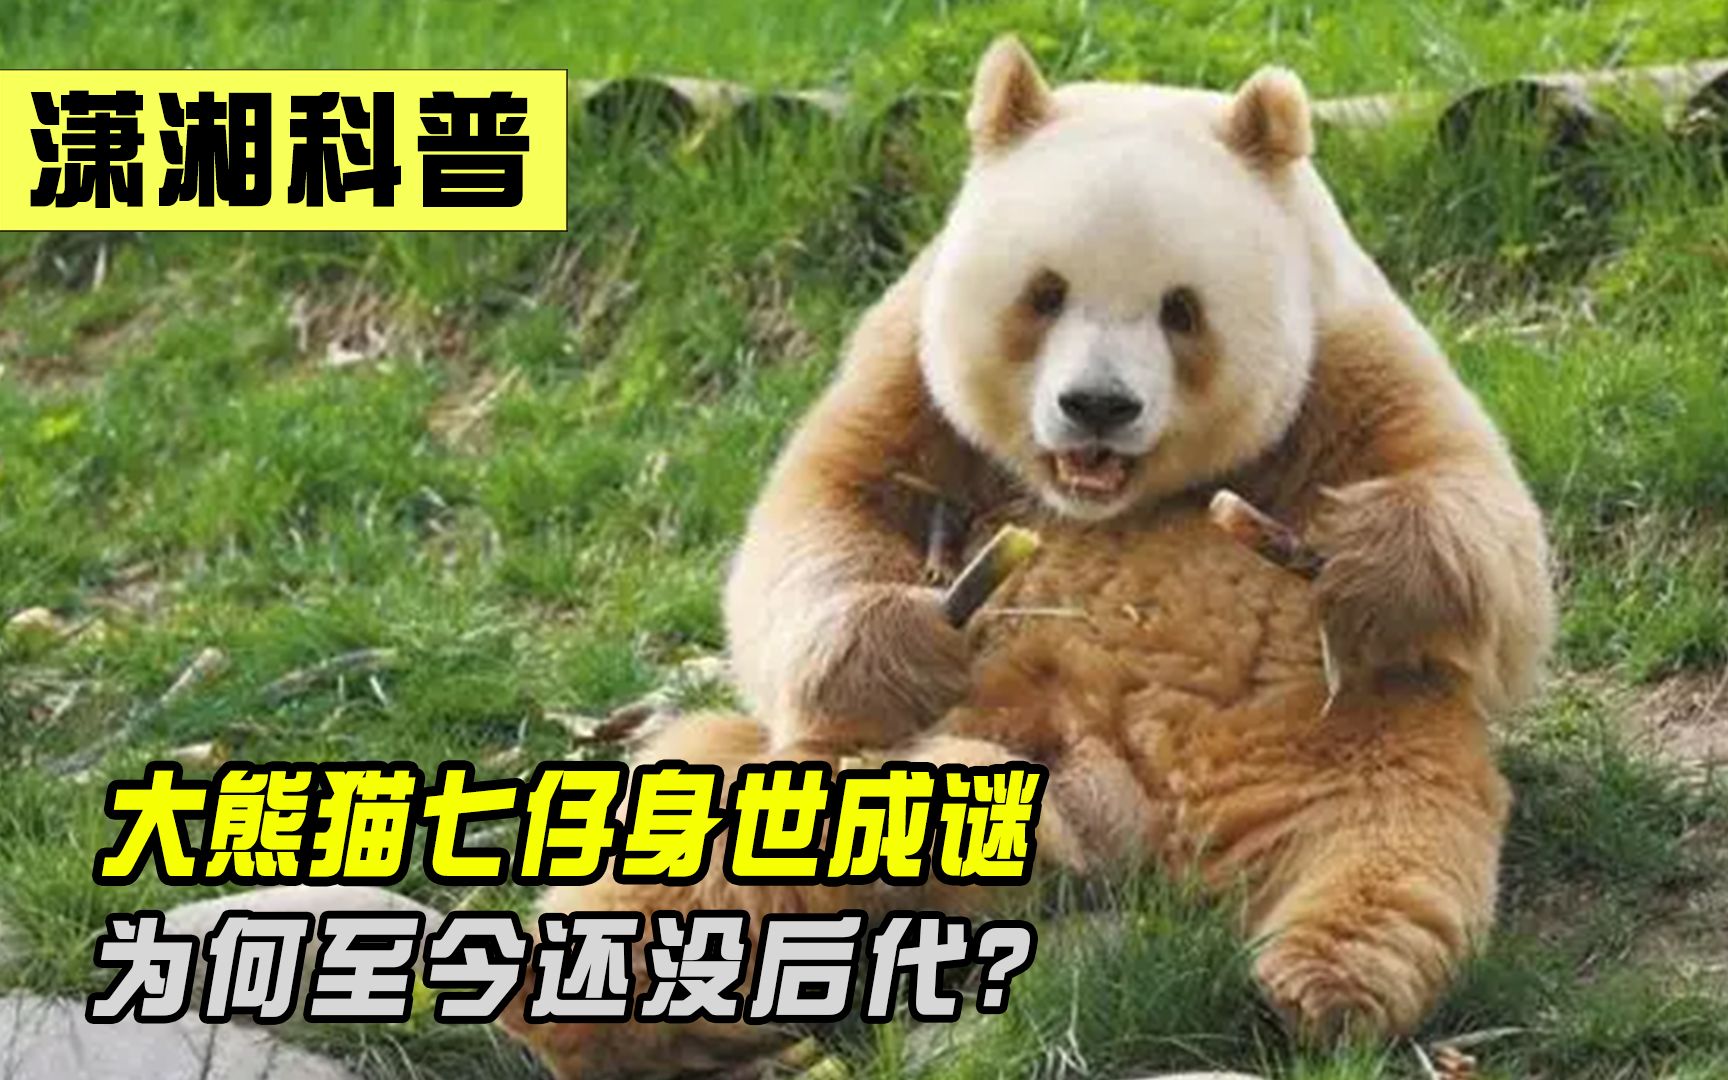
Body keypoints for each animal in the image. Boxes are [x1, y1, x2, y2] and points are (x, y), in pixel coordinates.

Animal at [502, 36, 1554, 1077]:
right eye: (1045, 294)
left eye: (1181, 309)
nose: (1098, 406)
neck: (1105, 495)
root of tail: (1128, 835)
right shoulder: (907, 370)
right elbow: (820, 515)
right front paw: (902, 646)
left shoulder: (1346, 354)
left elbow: (1494, 541)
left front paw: (1354, 559)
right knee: (700, 853)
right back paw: (602, 1008)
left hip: (1325, 742)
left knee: (1384, 838)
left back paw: (1322, 985)